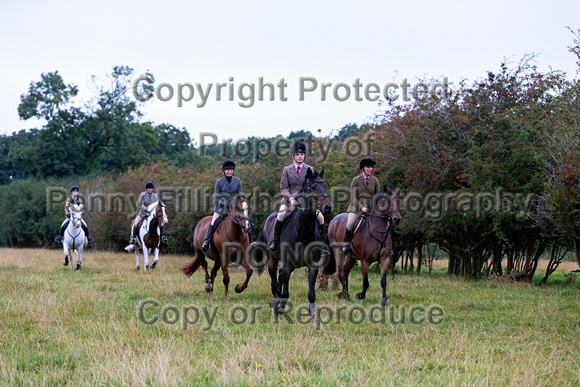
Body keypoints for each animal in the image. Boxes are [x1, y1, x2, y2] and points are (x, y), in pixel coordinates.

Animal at [253, 169, 334, 318]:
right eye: (313, 187)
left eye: (325, 186)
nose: (328, 207)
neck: (303, 230)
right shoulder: (288, 265)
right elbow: (285, 292)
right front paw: (279, 308)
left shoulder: (312, 265)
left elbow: (311, 292)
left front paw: (312, 314)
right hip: (273, 259)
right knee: (274, 282)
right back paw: (275, 303)